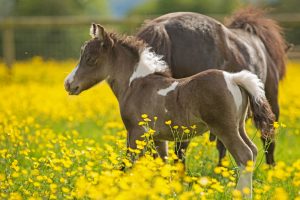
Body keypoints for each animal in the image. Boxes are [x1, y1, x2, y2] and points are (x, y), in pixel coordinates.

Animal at [65, 23, 274, 197]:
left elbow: (126, 165)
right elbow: (162, 167)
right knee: (253, 151)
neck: (136, 84)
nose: (68, 84)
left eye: (90, 59)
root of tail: (233, 78)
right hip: (239, 126)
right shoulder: (158, 138)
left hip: (224, 128)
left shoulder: (136, 132)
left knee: (244, 155)